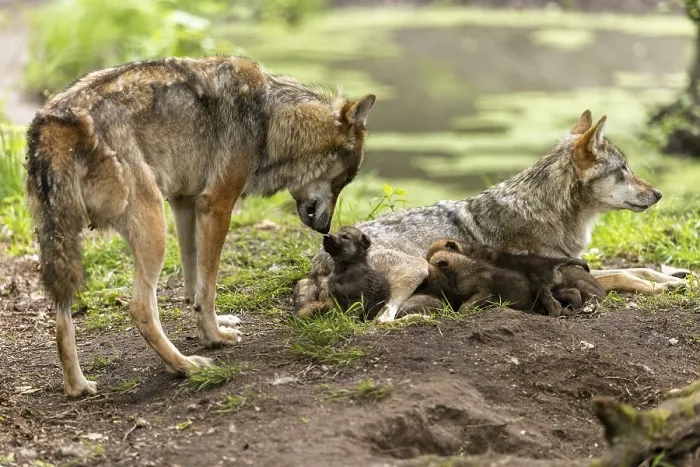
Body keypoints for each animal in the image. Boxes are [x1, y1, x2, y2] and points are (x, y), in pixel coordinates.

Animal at [25, 56, 376, 397]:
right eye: (343, 181)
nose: (326, 229)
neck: (270, 118)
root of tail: (55, 121)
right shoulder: (216, 205)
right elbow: (208, 287)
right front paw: (214, 337)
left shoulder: (185, 203)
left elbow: (193, 284)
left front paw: (210, 325)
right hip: (153, 230)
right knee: (140, 308)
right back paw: (184, 366)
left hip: (65, 247)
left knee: (61, 320)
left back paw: (78, 387)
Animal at [295, 110, 686, 323]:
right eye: (623, 171)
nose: (659, 194)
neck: (551, 211)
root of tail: (316, 265)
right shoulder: (561, 269)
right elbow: (624, 274)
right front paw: (661, 286)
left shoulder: (576, 263)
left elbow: (638, 267)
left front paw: (677, 278)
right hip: (415, 268)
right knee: (381, 320)